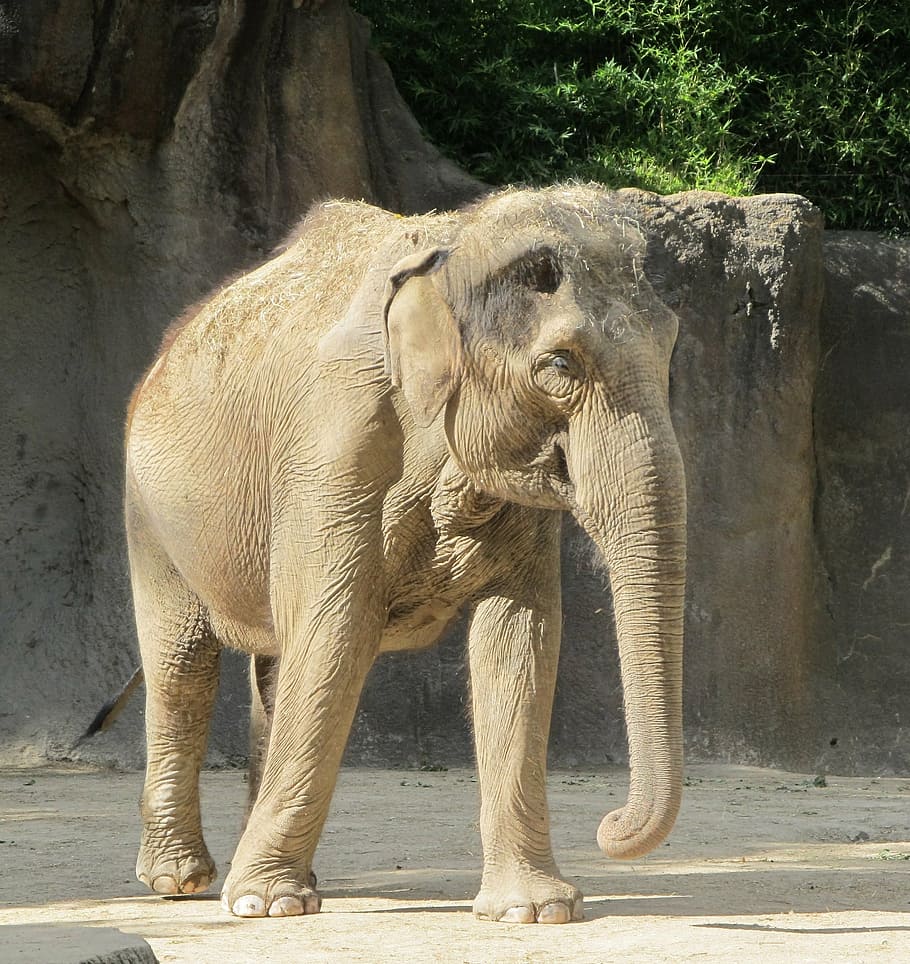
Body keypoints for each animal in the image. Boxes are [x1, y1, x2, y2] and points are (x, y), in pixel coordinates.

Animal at [124, 184, 687, 925]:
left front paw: (532, 912)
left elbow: (520, 639)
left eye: (671, 347)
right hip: (150, 512)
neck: (453, 249)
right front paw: (266, 907)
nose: (610, 826)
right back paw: (184, 882)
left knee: (272, 667)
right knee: (183, 665)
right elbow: (336, 632)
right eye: (560, 364)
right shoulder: (332, 446)